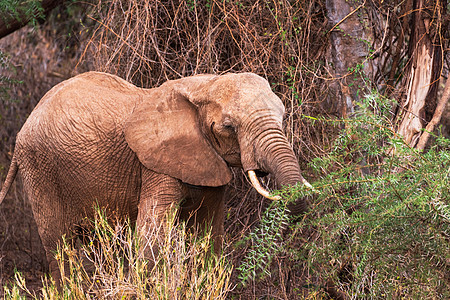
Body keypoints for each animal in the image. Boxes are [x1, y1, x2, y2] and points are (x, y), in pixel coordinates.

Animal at [0, 71, 312, 282]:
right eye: (228, 127)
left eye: (283, 117)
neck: (205, 85)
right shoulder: (153, 165)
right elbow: (152, 235)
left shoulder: (207, 160)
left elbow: (209, 233)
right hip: (40, 167)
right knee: (59, 242)